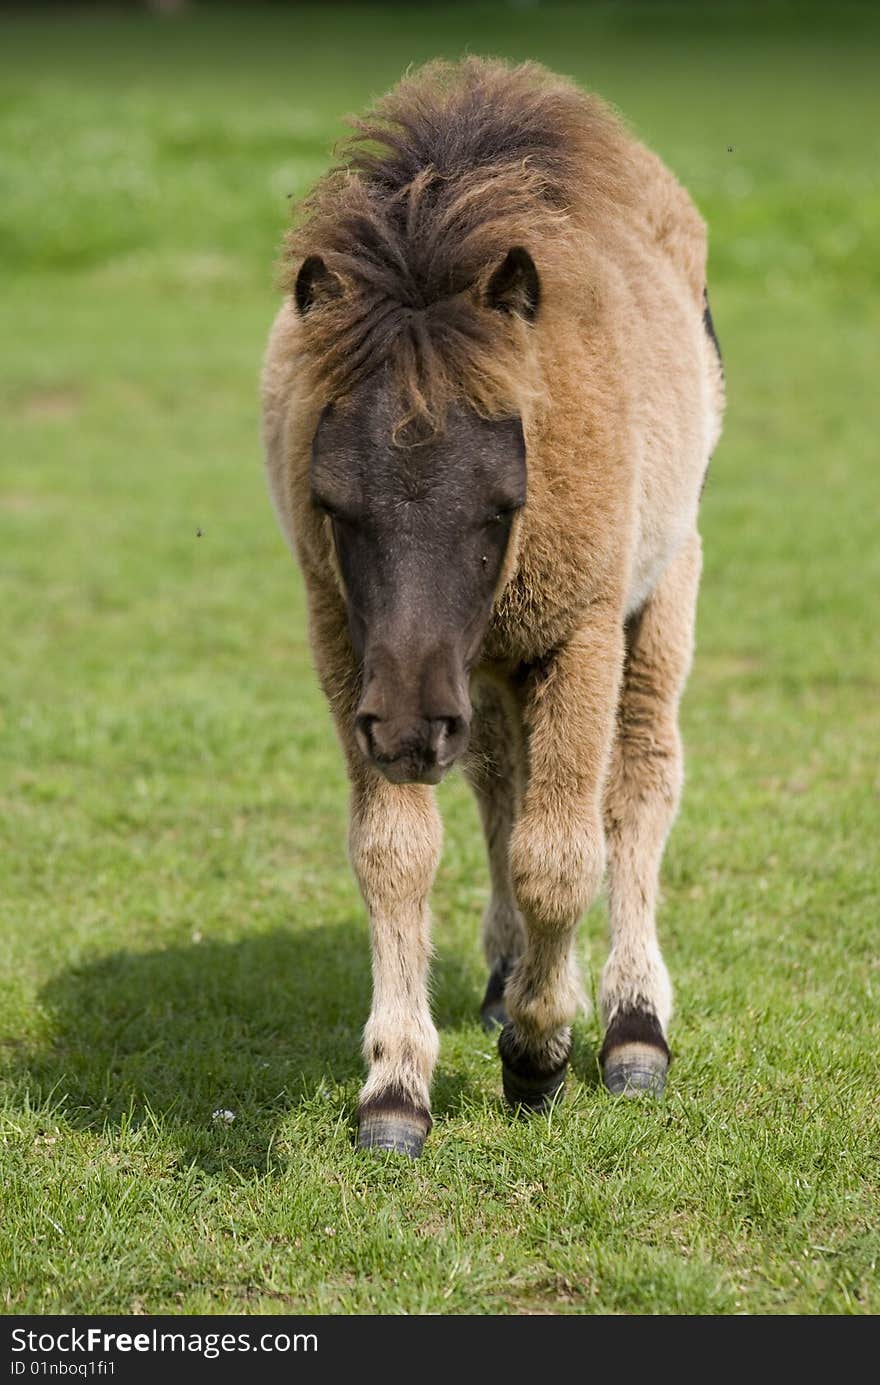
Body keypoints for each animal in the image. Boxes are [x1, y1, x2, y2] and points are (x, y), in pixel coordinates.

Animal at [260, 56, 720, 1157]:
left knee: (639, 779)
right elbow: (395, 851)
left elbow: (561, 853)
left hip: (657, 592)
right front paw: (395, 1087)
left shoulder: (577, 628)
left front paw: (541, 1053)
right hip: (475, 671)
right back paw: (510, 974)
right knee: (500, 784)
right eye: (332, 503)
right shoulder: (352, 645)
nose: (406, 729)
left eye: (502, 502)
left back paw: (632, 1023)